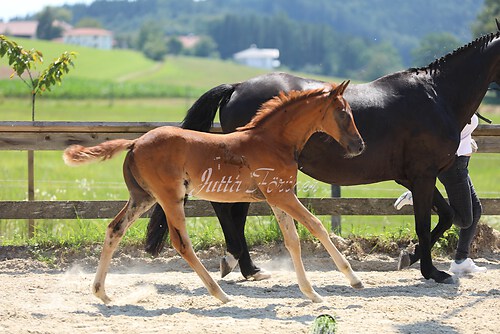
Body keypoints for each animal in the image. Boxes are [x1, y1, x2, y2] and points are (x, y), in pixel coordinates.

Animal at [64, 82, 366, 304]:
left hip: (143, 198)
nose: (359, 146)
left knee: (114, 229)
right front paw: (353, 279)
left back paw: (102, 293)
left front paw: (311, 293)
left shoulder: (277, 198)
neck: (273, 141)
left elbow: (292, 240)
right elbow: (316, 226)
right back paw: (220, 294)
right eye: (343, 112)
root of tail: (135, 142)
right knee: (181, 243)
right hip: (170, 198)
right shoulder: (282, 196)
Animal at [145, 29, 500, 284]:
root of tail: (238, 86)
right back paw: (240, 262)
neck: (436, 97)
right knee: (227, 208)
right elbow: (427, 224)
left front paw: (408, 257)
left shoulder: (414, 177)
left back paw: (245, 266)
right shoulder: (423, 175)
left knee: (233, 210)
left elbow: (448, 216)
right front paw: (432, 271)